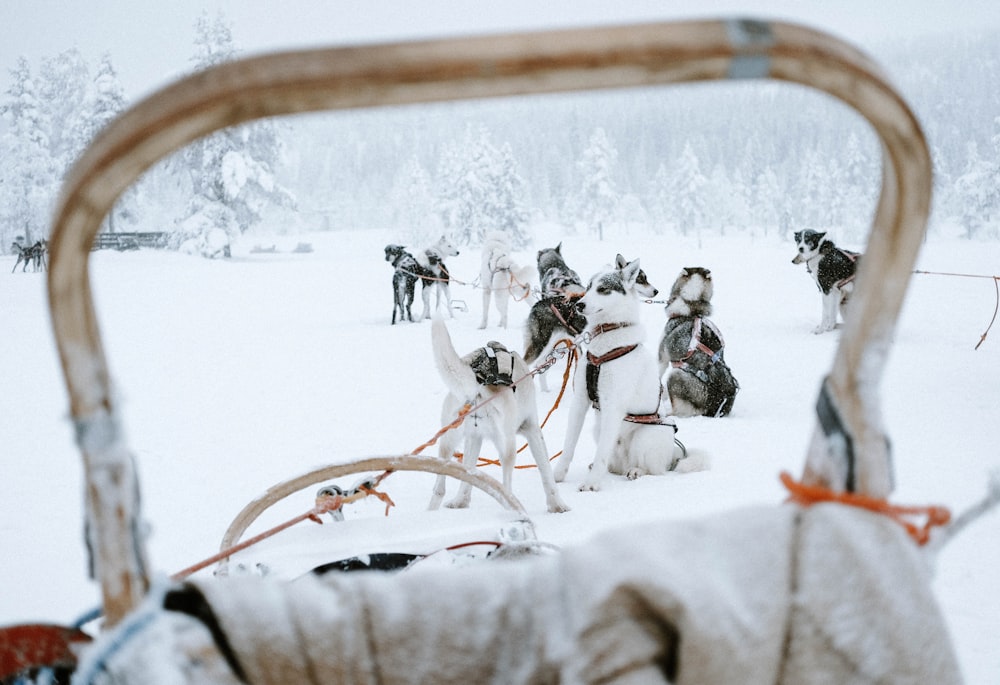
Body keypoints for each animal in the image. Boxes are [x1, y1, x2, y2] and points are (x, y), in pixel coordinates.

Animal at [428, 316, 572, 512]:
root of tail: (478, 382)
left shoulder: (475, 437)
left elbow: (468, 476)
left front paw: (461, 501)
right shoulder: (533, 430)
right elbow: (546, 471)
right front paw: (557, 505)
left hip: (447, 442)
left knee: (439, 488)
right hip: (508, 447)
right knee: (506, 488)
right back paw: (515, 509)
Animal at [556, 260, 704, 488]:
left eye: (603, 289)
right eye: (588, 287)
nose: (578, 304)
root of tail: (673, 455)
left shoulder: (612, 406)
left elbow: (601, 454)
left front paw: (591, 484)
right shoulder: (580, 401)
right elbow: (569, 444)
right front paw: (559, 474)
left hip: (646, 437)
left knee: (655, 471)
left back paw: (636, 471)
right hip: (598, 430)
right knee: (612, 464)